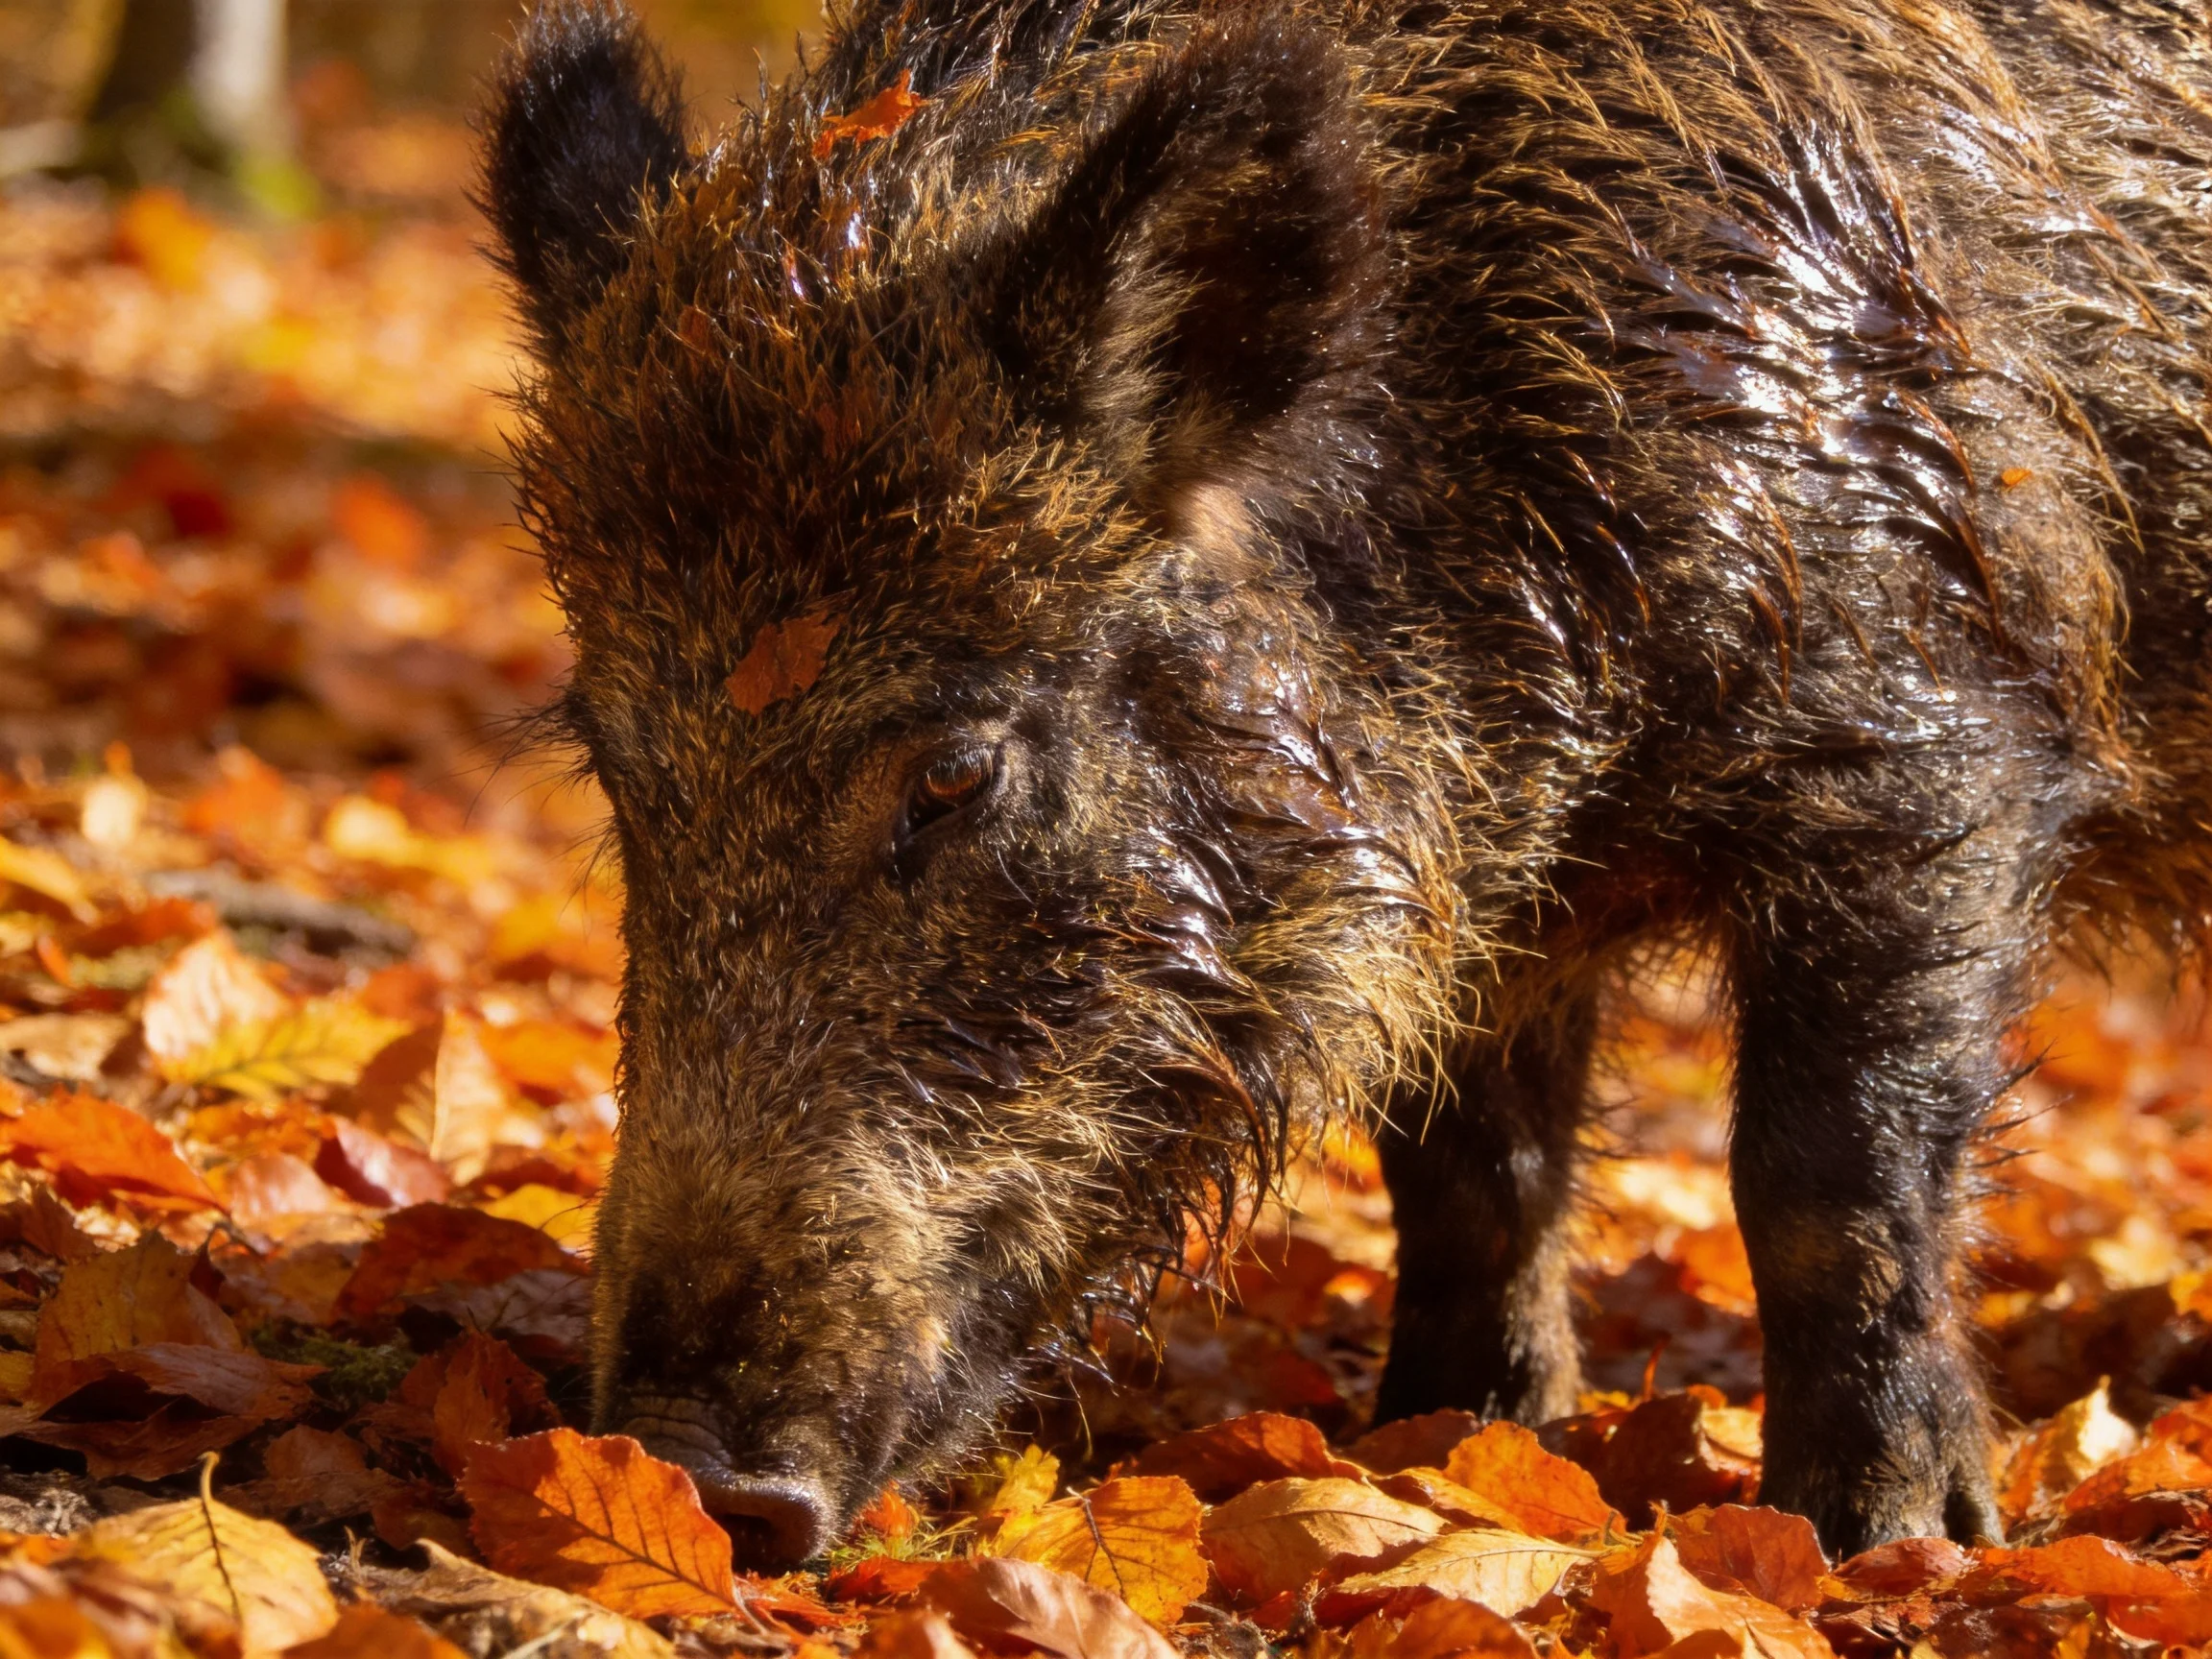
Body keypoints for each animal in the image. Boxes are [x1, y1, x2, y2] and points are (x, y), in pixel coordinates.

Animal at [480, 0, 2212, 1564]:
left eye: (957, 773)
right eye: (620, 772)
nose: (687, 1468)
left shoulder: (1931, 729)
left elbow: (1827, 1168)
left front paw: (1890, 1539)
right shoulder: (1490, 905)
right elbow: (1469, 1173)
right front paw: (1445, 1439)